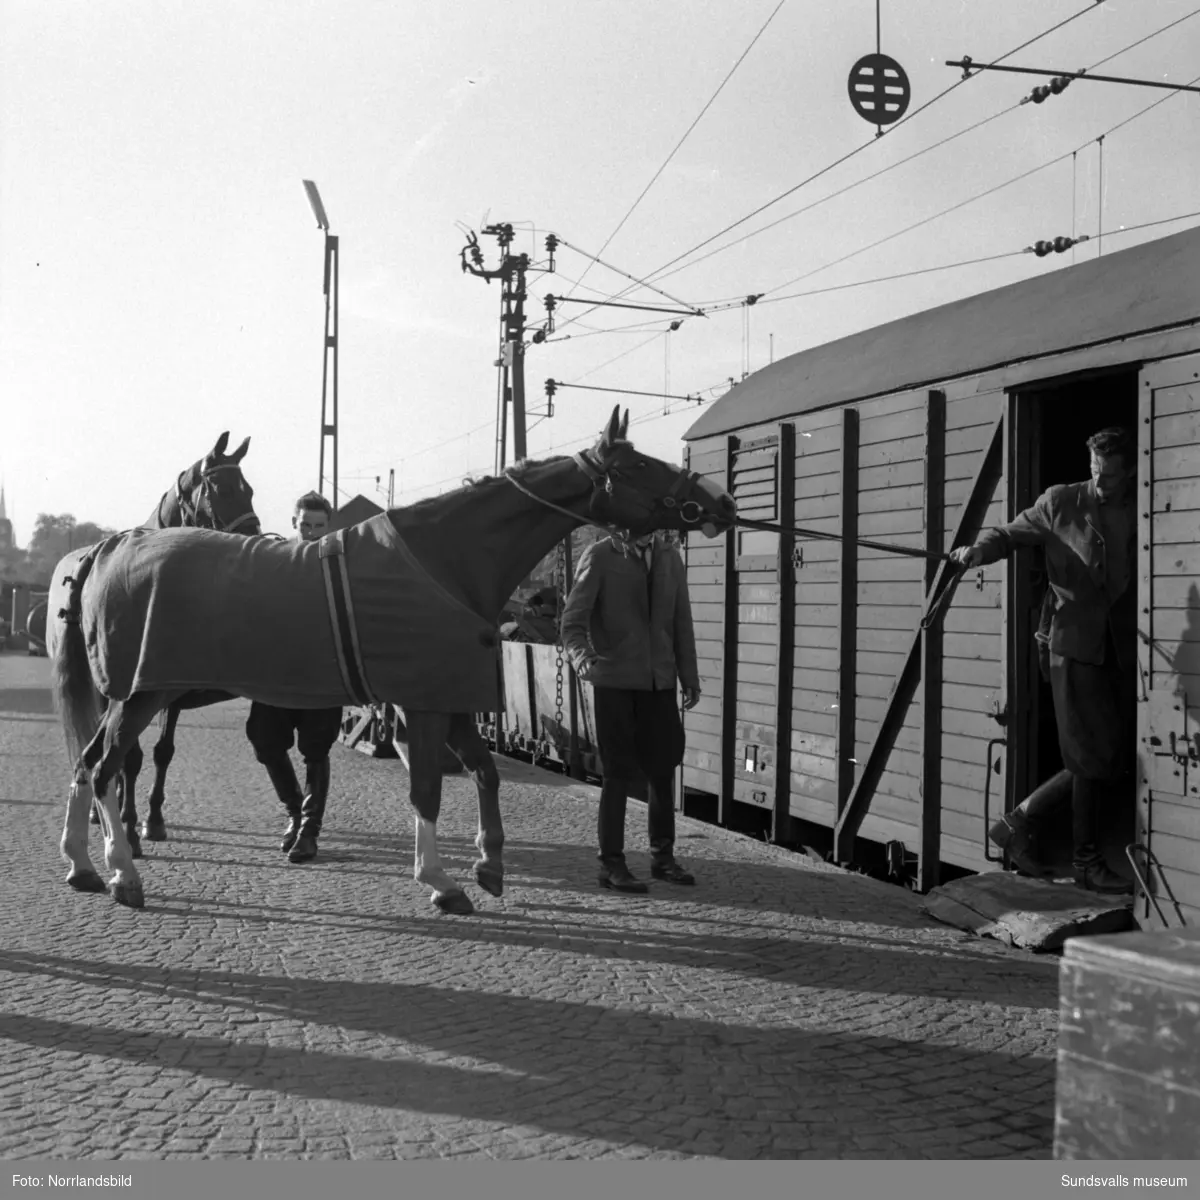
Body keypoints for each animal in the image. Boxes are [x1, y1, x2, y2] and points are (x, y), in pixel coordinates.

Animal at [46, 408, 734, 912]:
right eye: (640, 463)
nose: (721, 503)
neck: (445, 561)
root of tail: (111, 546)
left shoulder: (450, 700)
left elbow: (484, 774)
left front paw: (488, 865)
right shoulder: (424, 703)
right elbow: (426, 788)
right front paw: (441, 881)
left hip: (134, 695)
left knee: (86, 761)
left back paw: (83, 864)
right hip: (141, 693)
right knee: (105, 766)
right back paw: (122, 873)